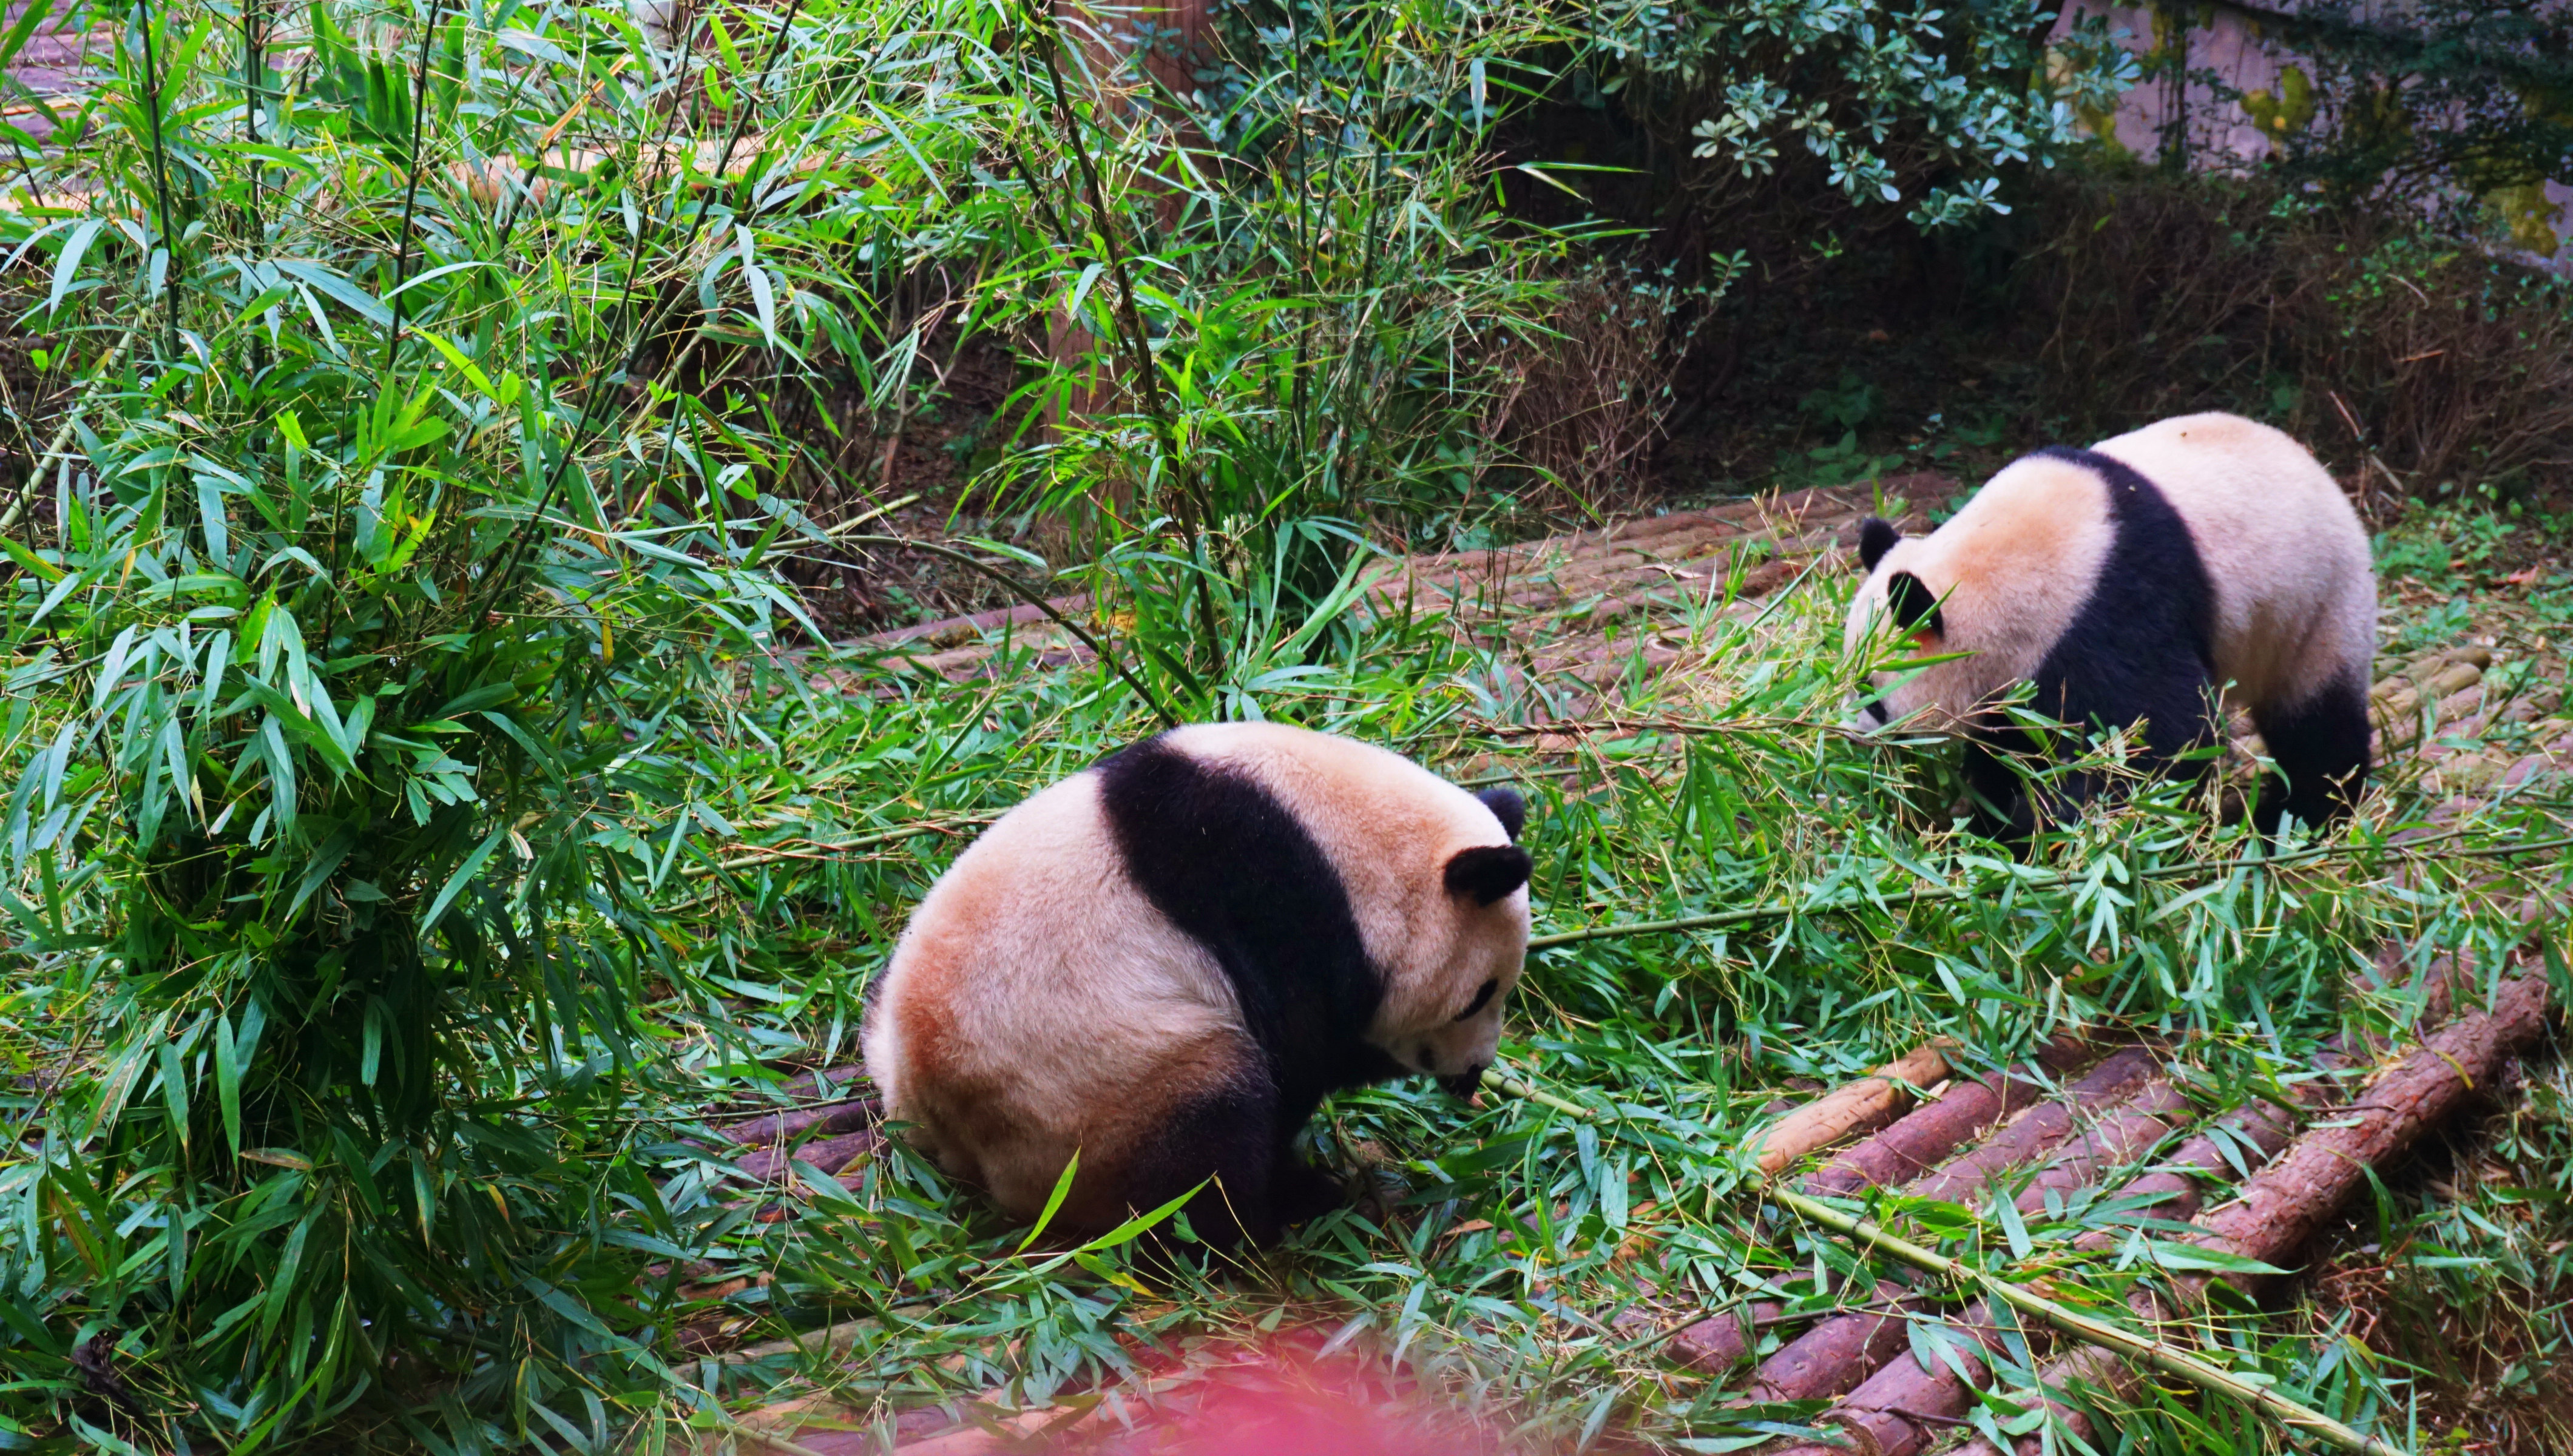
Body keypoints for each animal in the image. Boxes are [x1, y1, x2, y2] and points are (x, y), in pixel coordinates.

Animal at [864, 725, 1523, 1250]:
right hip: (1101, 1089)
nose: (1471, 1075)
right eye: (1479, 995)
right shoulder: (1278, 907)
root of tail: (931, 1113)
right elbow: (1302, 1049)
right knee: (1205, 1138)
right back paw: (1272, 1215)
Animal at [1852, 411, 2367, 843]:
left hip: (2318, 606)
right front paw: (1996, 819)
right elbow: (2010, 745)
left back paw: (2300, 816)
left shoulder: (2110, 610)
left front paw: (2044, 827)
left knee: (2318, 725)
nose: (1855, 739)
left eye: (1871, 697)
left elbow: (2161, 739)